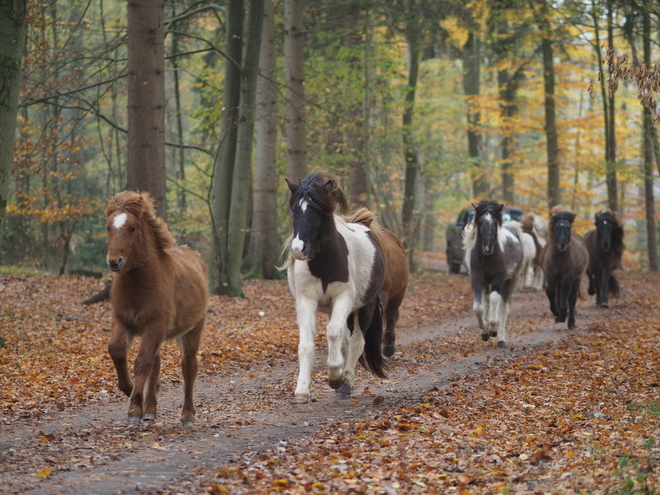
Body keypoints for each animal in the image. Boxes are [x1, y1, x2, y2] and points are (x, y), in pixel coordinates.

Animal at [105, 191, 209, 426]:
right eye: (108, 227)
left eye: (132, 228)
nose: (114, 262)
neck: (139, 284)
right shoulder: (122, 320)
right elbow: (117, 350)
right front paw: (132, 392)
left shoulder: (156, 324)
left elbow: (142, 362)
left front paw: (135, 408)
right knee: (157, 362)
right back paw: (150, 409)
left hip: (192, 330)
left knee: (188, 367)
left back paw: (187, 414)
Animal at [280, 173, 384, 404]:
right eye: (295, 211)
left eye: (318, 211)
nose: (298, 250)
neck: (325, 263)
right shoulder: (306, 301)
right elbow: (306, 345)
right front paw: (302, 390)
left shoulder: (343, 298)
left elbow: (335, 333)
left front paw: (336, 377)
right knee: (345, 338)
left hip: (365, 306)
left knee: (356, 341)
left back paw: (346, 383)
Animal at [462, 200, 524, 346]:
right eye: (480, 222)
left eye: (495, 223)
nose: (487, 248)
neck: (487, 258)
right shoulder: (477, 279)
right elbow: (478, 307)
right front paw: (484, 329)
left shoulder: (498, 279)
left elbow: (495, 299)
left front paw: (493, 329)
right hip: (486, 282)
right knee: (487, 301)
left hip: (510, 280)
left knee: (503, 306)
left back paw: (500, 338)